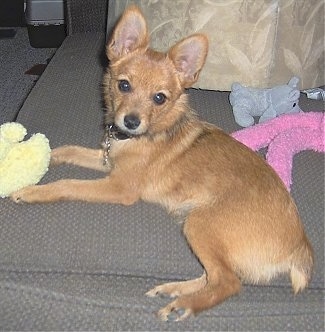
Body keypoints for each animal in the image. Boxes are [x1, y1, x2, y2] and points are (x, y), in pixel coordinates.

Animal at [12, 5, 312, 322]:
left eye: (159, 98)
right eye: (124, 85)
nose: (131, 121)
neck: (142, 135)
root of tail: (300, 249)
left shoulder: (119, 188)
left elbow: (68, 183)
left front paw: (32, 191)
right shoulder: (107, 162)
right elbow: (67, 149)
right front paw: (37, 156)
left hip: (199, 223)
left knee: (227, 282)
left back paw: (185, 303)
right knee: (218, 276)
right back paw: (175, 289)